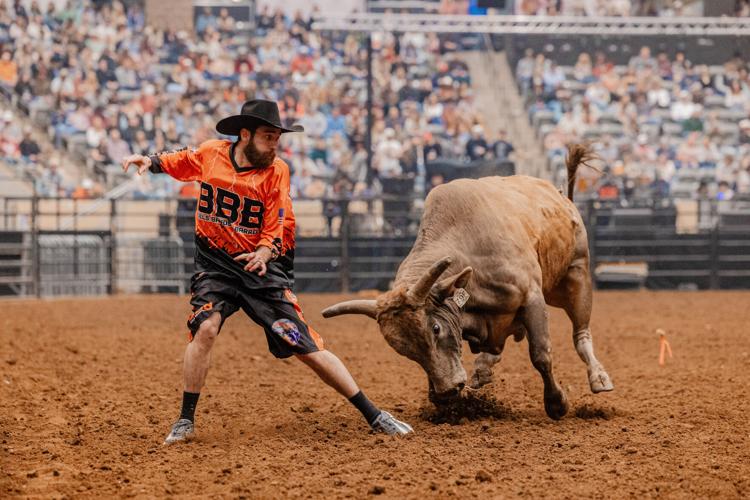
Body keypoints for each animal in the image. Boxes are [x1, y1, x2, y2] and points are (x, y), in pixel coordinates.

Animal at [322, 144, 613, 420]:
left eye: (436, 328)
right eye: (402, 349)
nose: (446, 392)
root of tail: (562, 197)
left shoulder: (532, 298)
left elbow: (541, 354)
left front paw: (556, 403)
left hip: (574, 276)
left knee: (581, 333)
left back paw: (599, 377)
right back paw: (483, 367)